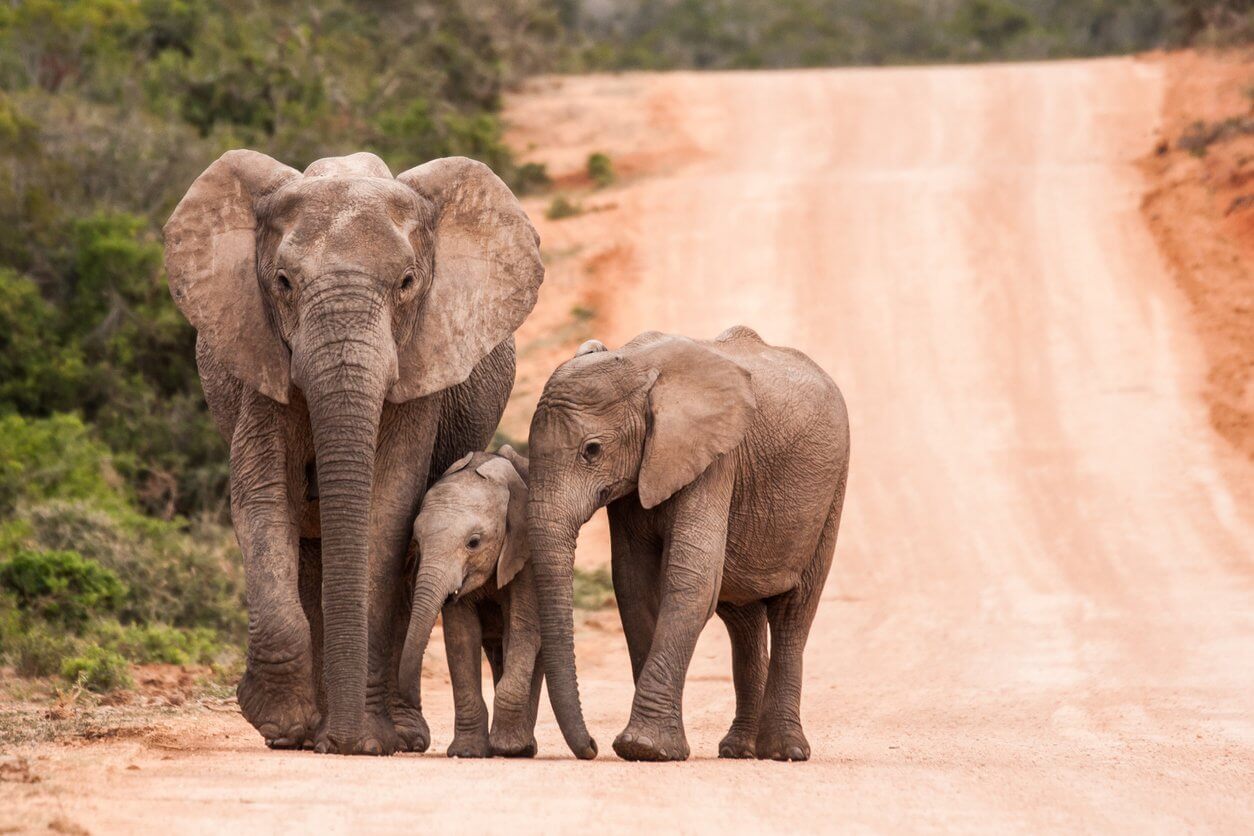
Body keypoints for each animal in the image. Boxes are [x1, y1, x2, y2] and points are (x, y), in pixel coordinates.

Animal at [398, 445, 542, 758]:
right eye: (417, 542)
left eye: (473, 543)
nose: (414, 696)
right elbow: (461, 637)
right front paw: (466, 752)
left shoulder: (527, 555)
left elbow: (521, 629)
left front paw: (509, 747)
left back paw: (523, 747)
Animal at [527, 326, 849, 762]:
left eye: (591, 450)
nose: (591, 747)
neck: (638, 366)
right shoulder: (639, 476)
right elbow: (633, 585)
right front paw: (651, 747)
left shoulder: (716, 460)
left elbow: (690, 580)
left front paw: (643, 748)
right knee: (743, 619)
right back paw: (738, 750)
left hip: (831, 491)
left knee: (794, 613)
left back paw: (785, 752)